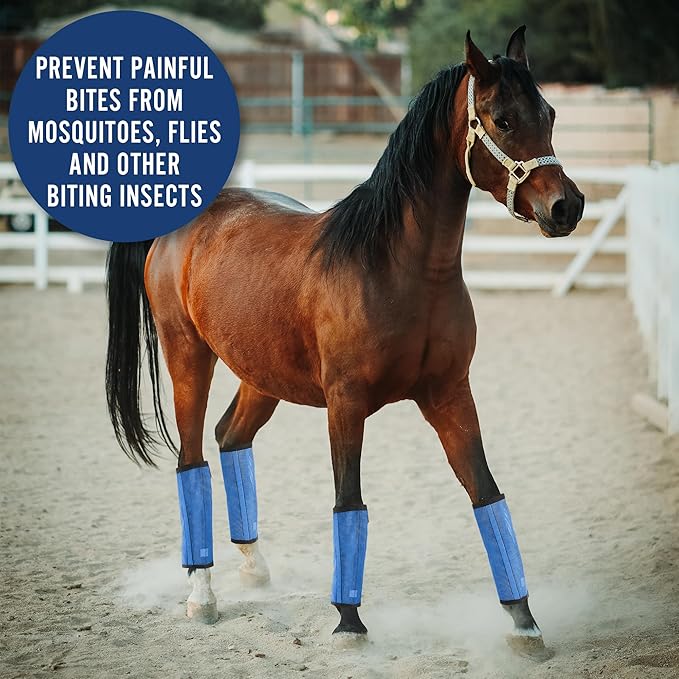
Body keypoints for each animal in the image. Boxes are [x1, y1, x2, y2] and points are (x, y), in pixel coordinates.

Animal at [105, 26, 584, 653]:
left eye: (548, 113)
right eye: (502, 119)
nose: (566, 206)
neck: (396, 269)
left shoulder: (451, 394)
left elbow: (486, 494)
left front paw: (523, 621)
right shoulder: (346, 405)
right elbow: (348, 501)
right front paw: (349, 621)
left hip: (262, 376)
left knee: (230, 438)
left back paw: (255, 569)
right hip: (189, 357)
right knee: (191, 461)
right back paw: (201, 595)